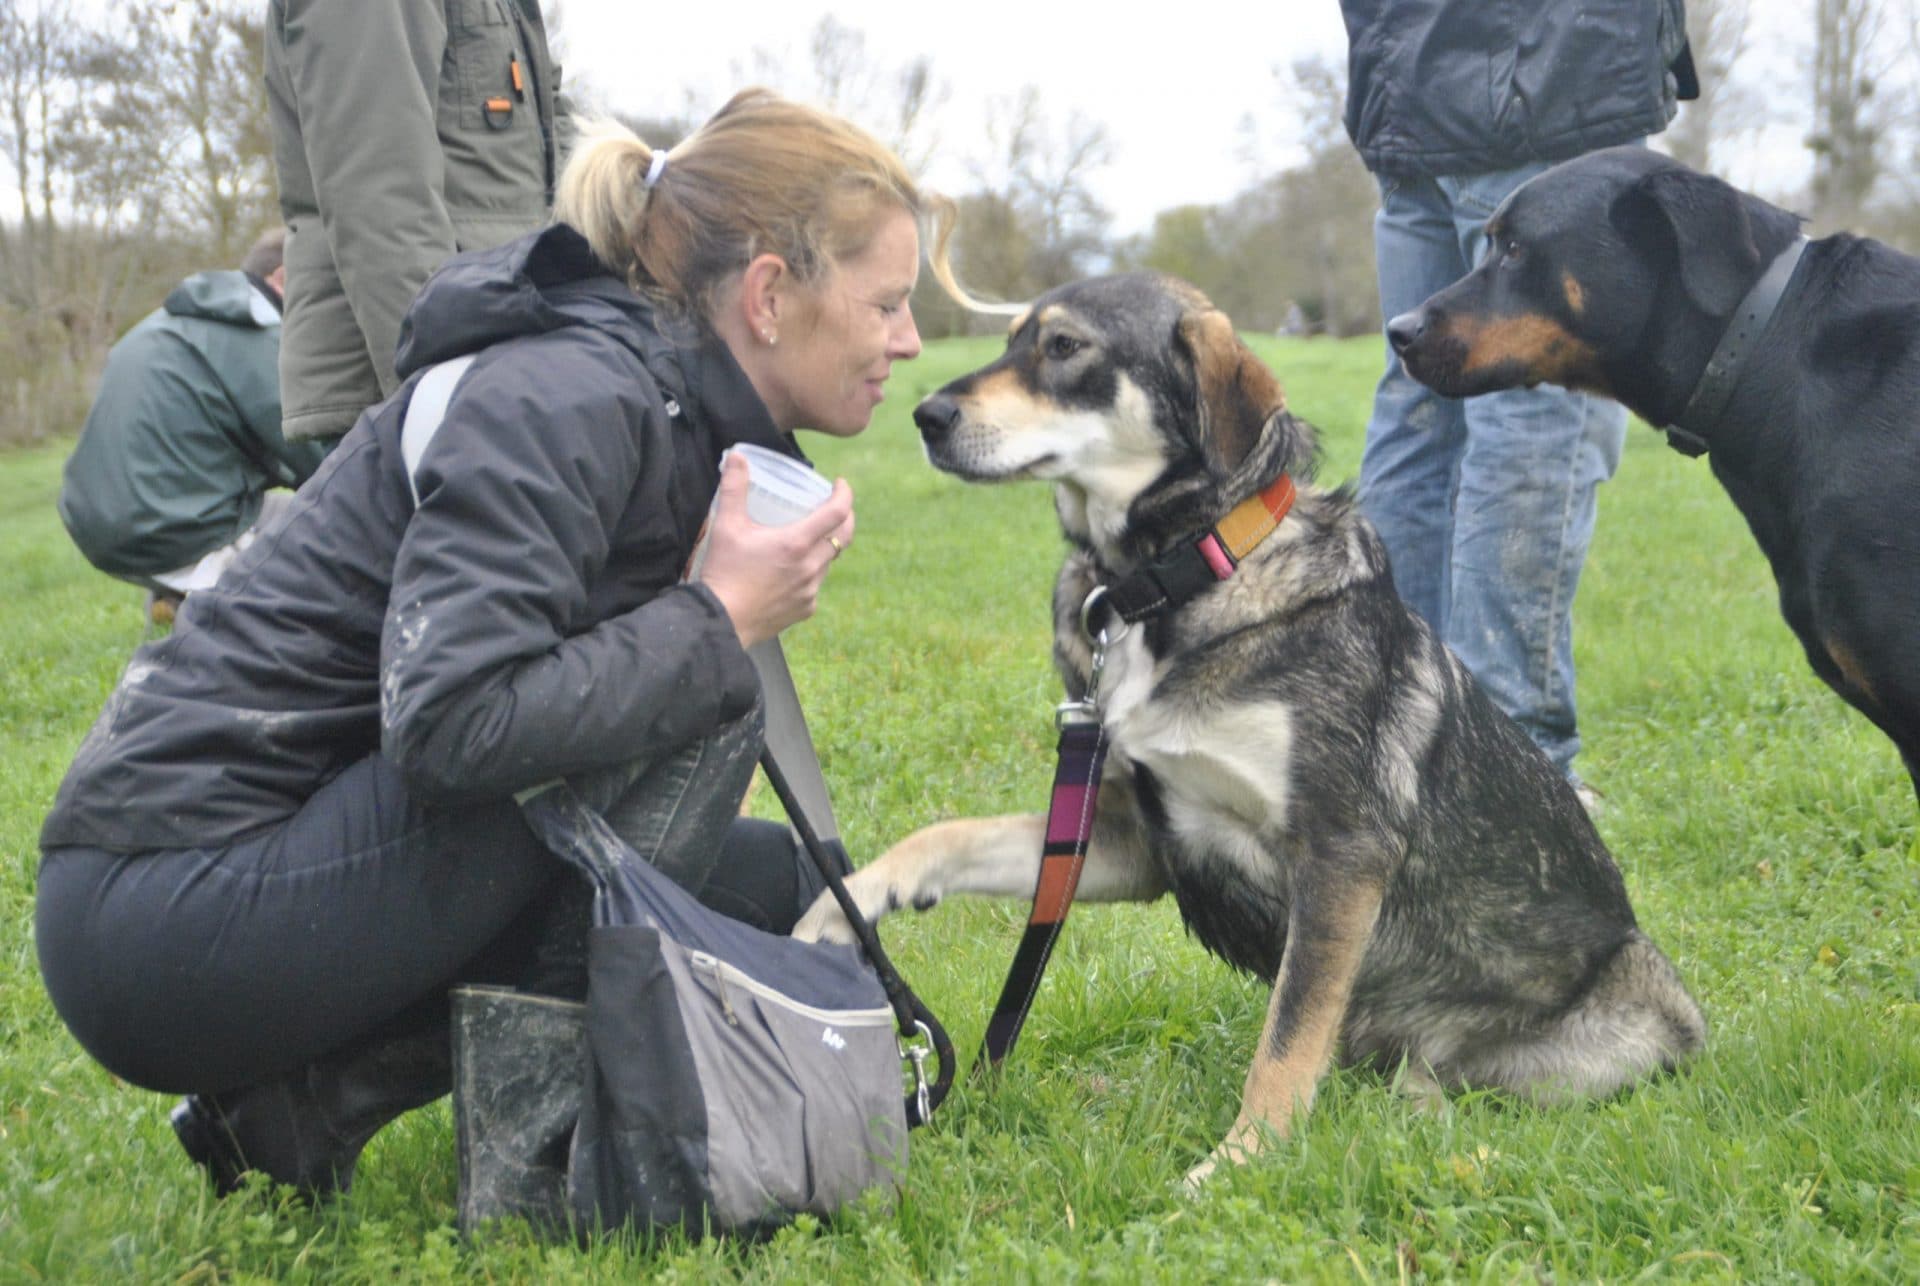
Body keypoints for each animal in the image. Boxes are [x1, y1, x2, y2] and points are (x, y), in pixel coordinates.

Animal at [794, 272, 1712, 1190]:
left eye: (1065, 347)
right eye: (1012, 337)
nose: (927, 417)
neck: (1173, 584)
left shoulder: (1340, 853)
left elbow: (1287, 1038)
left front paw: (1238, 1164)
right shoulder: (1139, 838)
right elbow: (952, 836)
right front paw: (847, 906)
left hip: (1621, 1022)